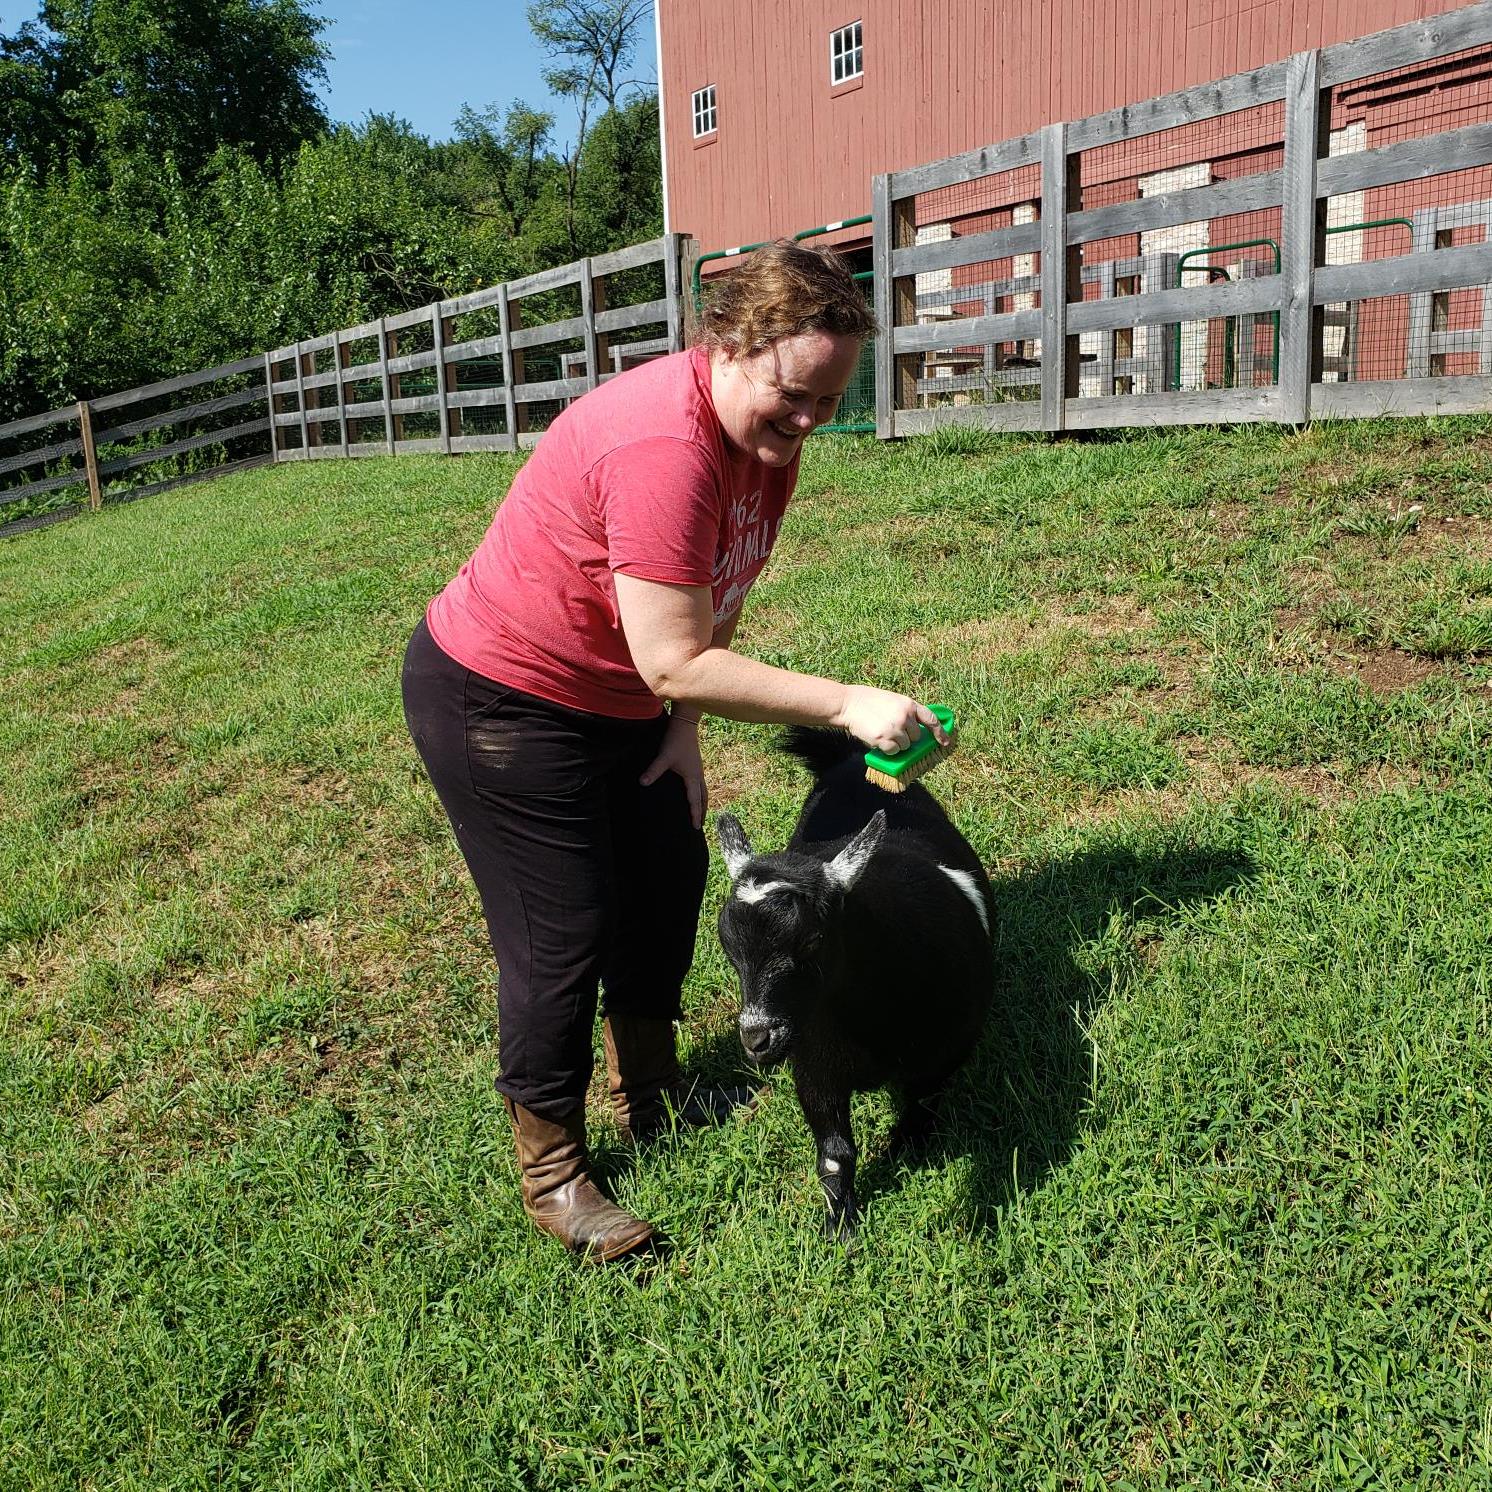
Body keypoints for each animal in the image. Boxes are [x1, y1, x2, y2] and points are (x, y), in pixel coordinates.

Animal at [713, 731, 990, 1235]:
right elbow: (835, 1154)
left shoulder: (945, 1051)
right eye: (728, 946)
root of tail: (848, 758)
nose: (757, 1040)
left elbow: (921, 1104)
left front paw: (906, 1151)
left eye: (813, 939)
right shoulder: (813, 1070)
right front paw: (839, 1227)